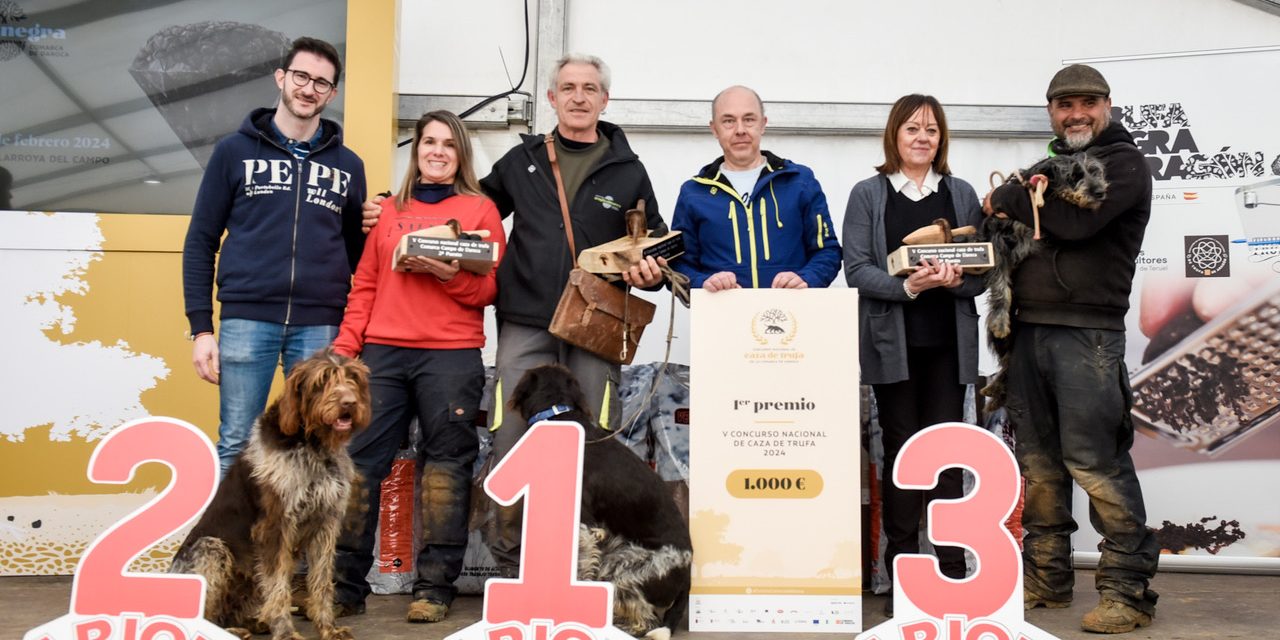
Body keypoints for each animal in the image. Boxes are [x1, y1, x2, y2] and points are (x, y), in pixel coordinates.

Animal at [171, 350, 371, 640]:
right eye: (322, 380)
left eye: (353, 378)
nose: (349, 403)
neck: (312, 444)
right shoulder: (275, 526)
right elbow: (278, 587)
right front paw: (286, 632)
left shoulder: (325, 524)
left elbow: (321, 582)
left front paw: (328, 628)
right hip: (212, 549)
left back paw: (251, 623)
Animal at [506, 366, 696, 640]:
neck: (560, 417)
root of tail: (687, 578)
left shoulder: (584, 524)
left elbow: (578, 570)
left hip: (625, 570)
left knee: (646, 619)